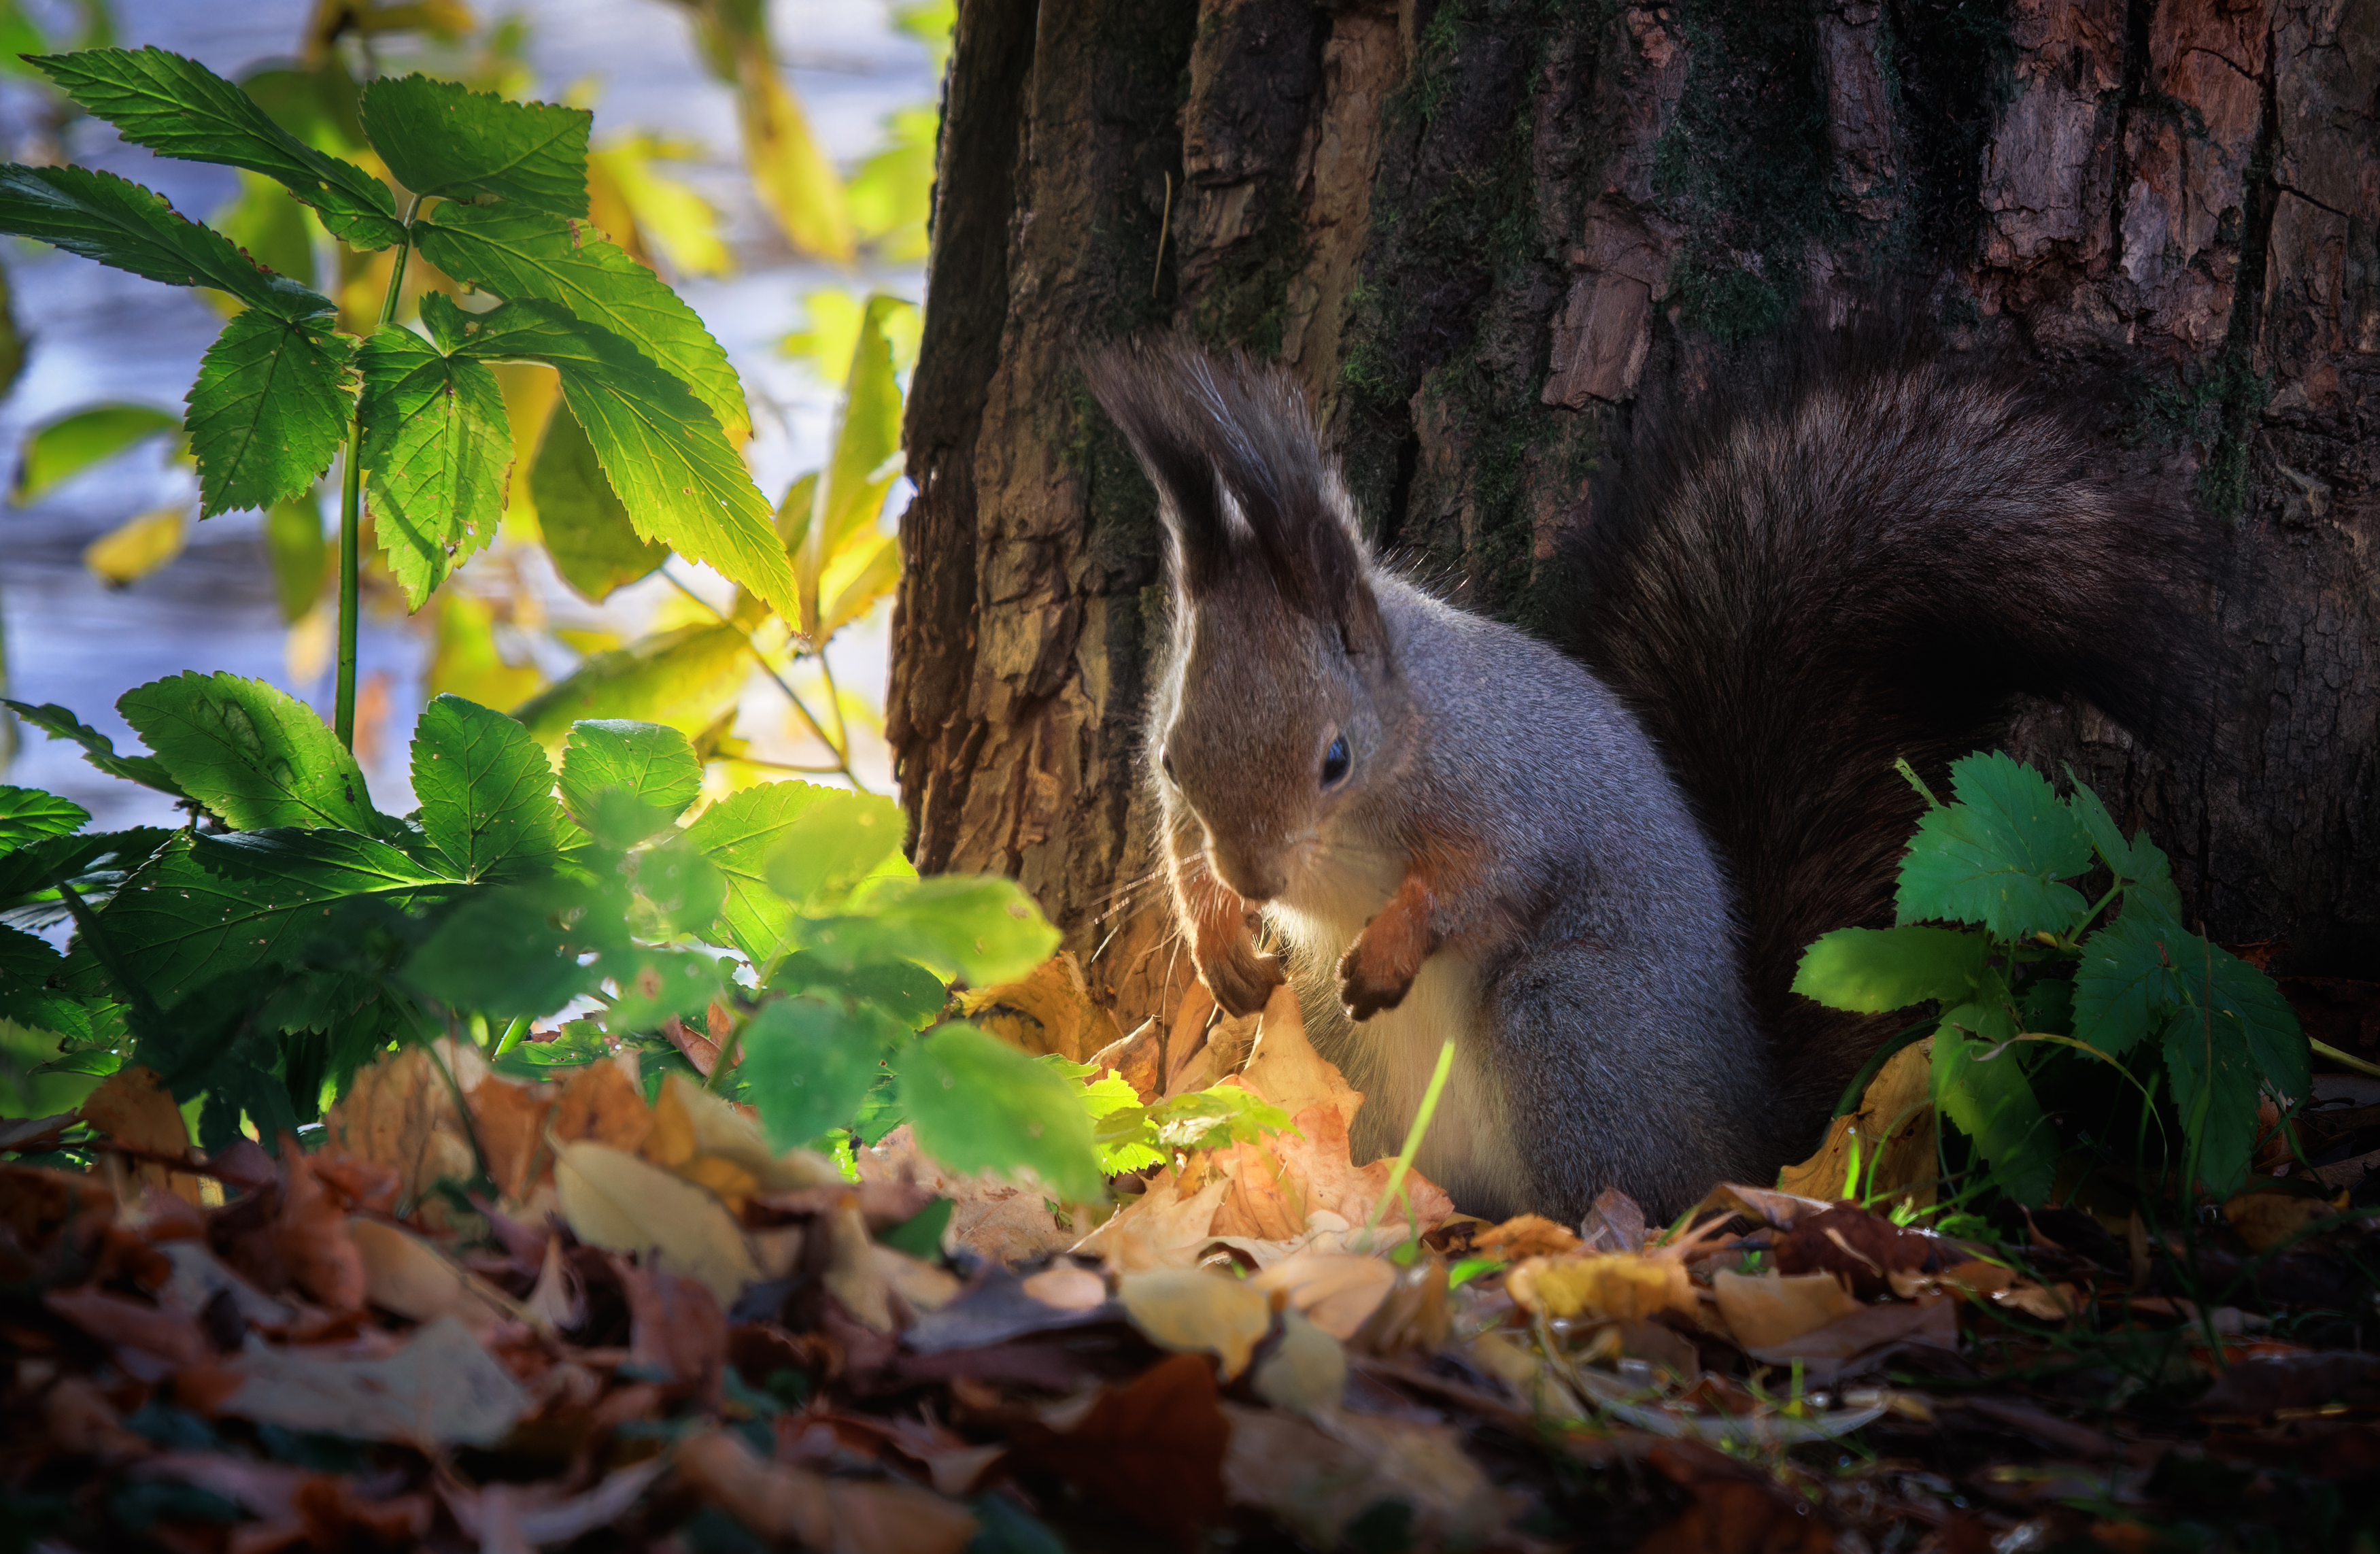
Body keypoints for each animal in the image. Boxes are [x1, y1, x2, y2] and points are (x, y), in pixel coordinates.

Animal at [1090, 331, 2199, 1228]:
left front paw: (1390, 942)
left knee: (1629, 1190)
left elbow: (1484, 875)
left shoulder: (1504, 787)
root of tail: (1751, 1120)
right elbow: (1178, 848)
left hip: (1569, 1030)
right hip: (1350, 1060)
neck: (1409, 716)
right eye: (1171, 756)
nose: (1253, 879)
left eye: (1334, 758)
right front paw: (1217, 942)